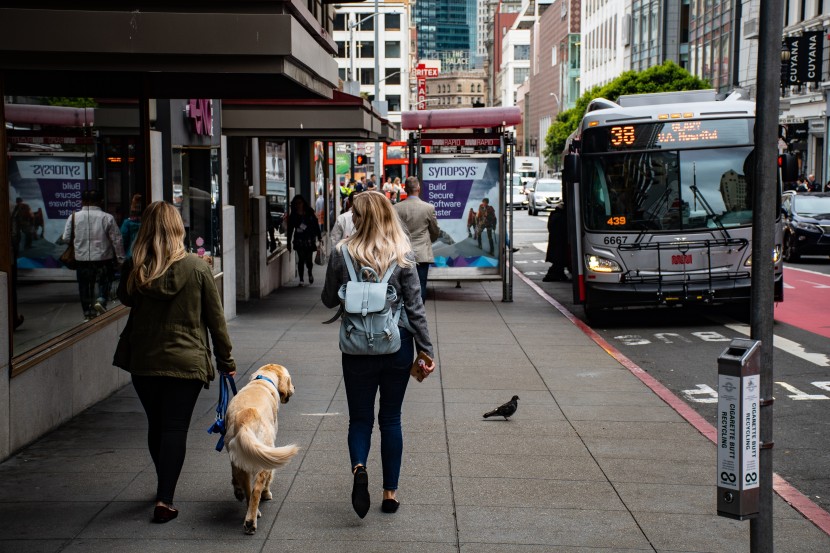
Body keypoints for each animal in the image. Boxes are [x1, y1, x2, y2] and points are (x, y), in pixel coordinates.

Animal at [224, 364, 300, 532]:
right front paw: (267, 493)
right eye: (290, 380)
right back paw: (251, 521)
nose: (294, 387)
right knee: (256, 490)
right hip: (264, 455)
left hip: (241, 458)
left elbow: (234, 477)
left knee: (247, 489)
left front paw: (237, 490)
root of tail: (245, 421)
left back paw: (249, 508)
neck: (262, 380)